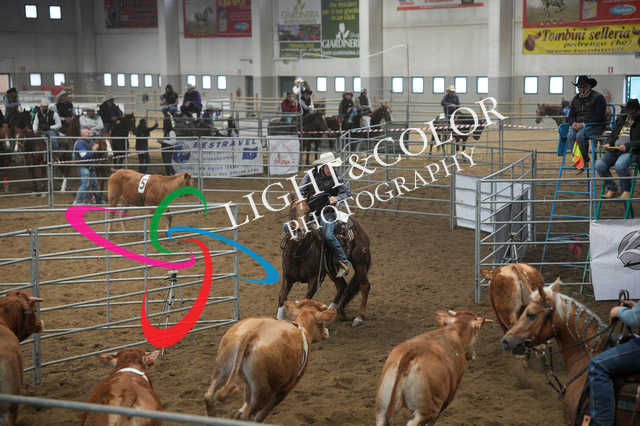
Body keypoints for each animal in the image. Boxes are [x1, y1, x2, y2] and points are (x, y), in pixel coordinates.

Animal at [203, 299, 336, 422]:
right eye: (322, 323)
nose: (327, 332)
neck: (302, 328)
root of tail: (253, 332)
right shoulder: (286, 388)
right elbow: (263, 413)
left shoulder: (248, 384)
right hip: (263, 391)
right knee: (247, 415)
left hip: (223, 367)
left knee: (209, 396)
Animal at [277, 197, 372, 327]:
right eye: (292, 210)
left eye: (308, 211)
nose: (300, 231)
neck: (299, 253)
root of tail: (361, 230)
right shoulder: (287, 277)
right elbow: (282, 298)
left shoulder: (314, 281)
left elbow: (304, 302)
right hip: (331, 269)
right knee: (342, 286)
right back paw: (332, 310)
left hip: (360, 263)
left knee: (364, 286)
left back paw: (359, 317)